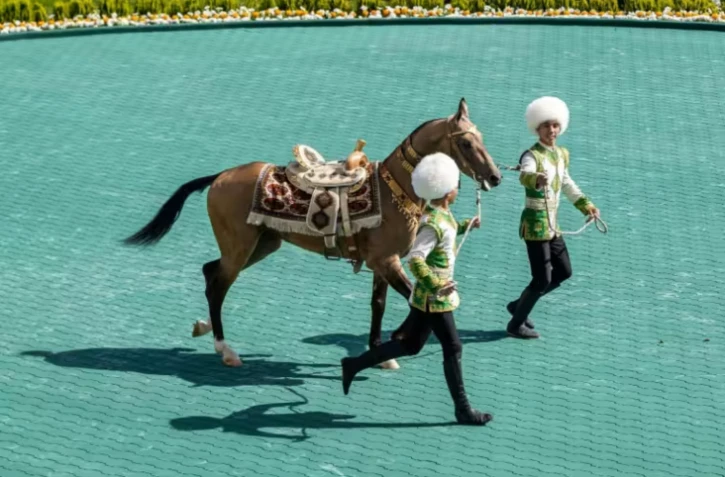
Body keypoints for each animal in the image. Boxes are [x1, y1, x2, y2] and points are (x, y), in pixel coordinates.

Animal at [123, 98, 502, 369]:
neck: (392, 189)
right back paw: (225, 349)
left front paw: (381, 353)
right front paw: (399, 339)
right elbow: (412, 297)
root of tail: (220, 176)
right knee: (217, 287)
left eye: (482, 138)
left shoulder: (381, 263)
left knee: (209, 271)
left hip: (262, 244)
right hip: (240, 248)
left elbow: (378, 305)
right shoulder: (388, 261)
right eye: (467, 144)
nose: (495, 176)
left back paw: (203, 329)